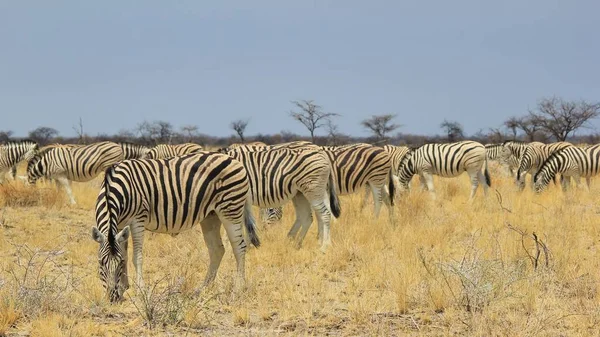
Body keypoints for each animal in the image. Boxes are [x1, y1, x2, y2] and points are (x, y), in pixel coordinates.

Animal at [90, 152, 258, 302]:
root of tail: (236, 161)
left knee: (239, 247)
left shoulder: (138, 218)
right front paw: (123, 288)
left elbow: (136, 257)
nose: (112, 297)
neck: (114, 189)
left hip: (231, 209)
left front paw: (140, 290)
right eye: (100, 262)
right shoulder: (120, 224)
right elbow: (124, 253)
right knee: (217, 250)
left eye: (117, 264)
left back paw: (238, 289)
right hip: (211, 216)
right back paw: (202, 288)